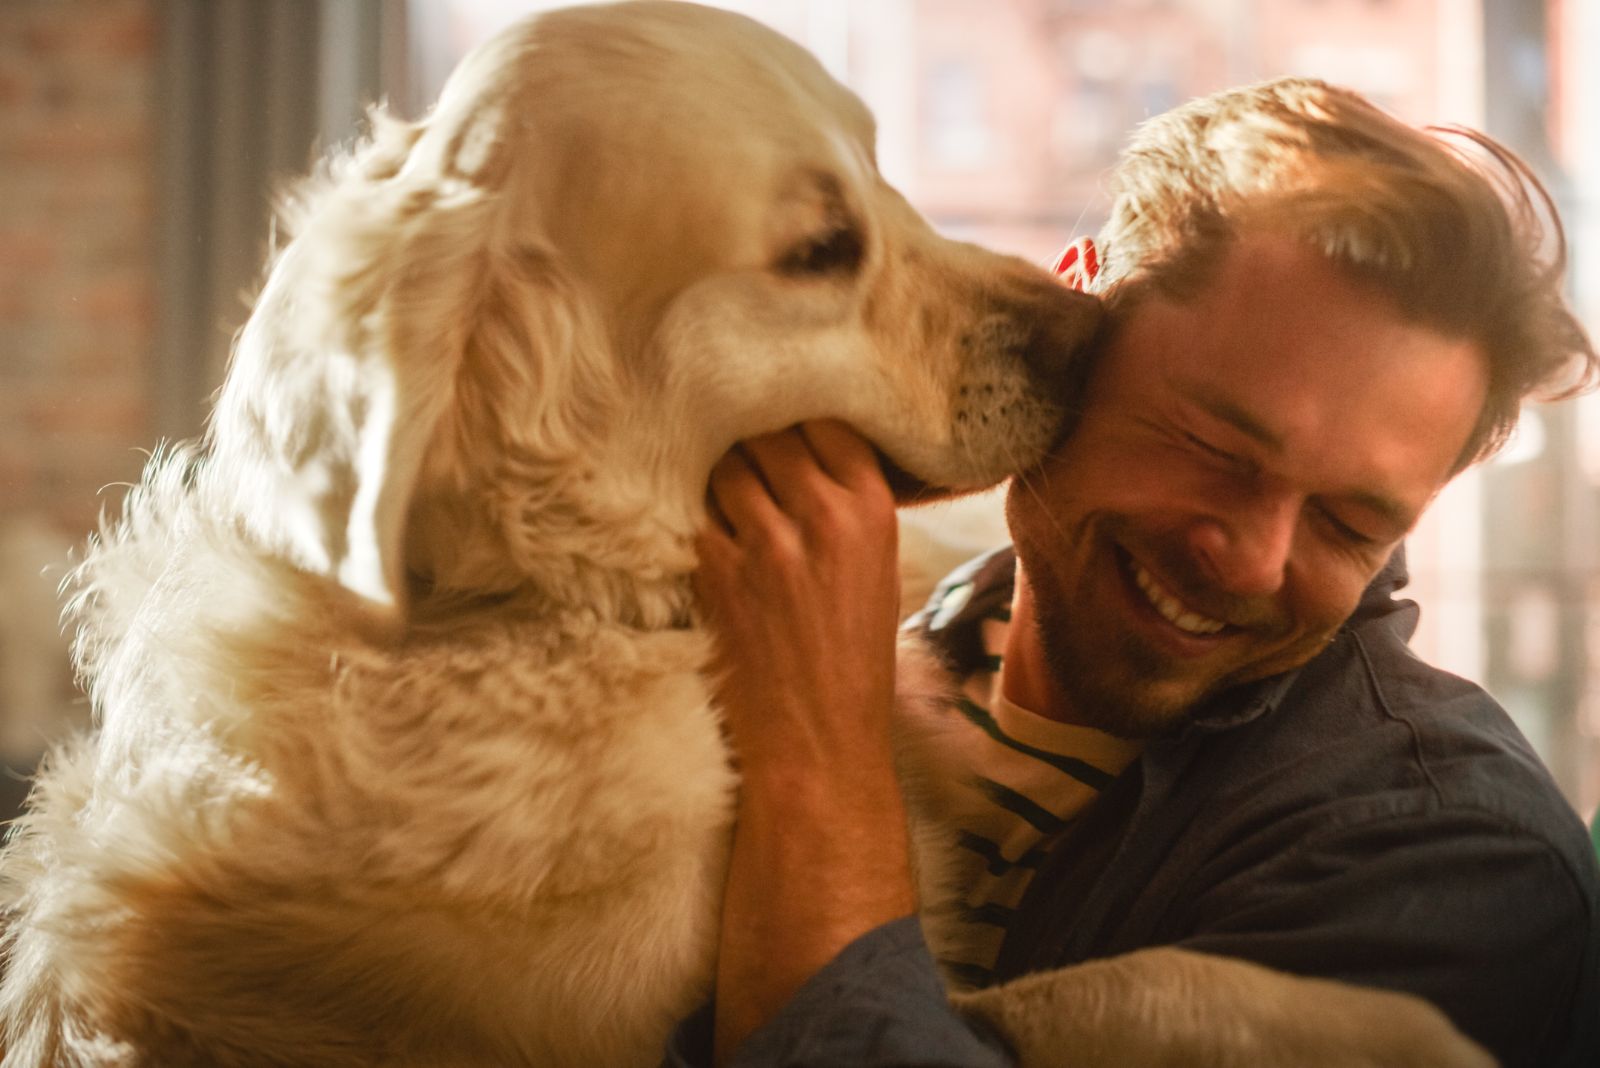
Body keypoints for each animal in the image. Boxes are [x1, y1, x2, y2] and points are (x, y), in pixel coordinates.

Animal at [0, 2, 1491, 1068]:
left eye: (882, 171)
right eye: (820, 249)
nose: (1090, 338)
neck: (564, 603)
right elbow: (1104, 989)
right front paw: (1409, 1026)